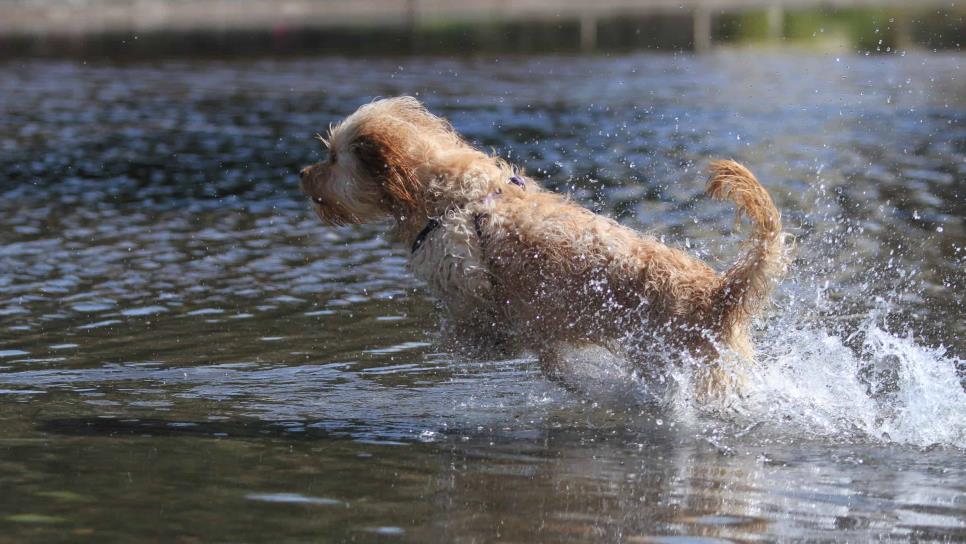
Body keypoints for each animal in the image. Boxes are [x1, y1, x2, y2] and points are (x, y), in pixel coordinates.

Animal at [298, 98, 792, 396]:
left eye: (333, 159)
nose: (302, 174)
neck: (448, 195)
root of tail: (718, 293)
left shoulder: (468, 278)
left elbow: (469, 328)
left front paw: (484, 346)